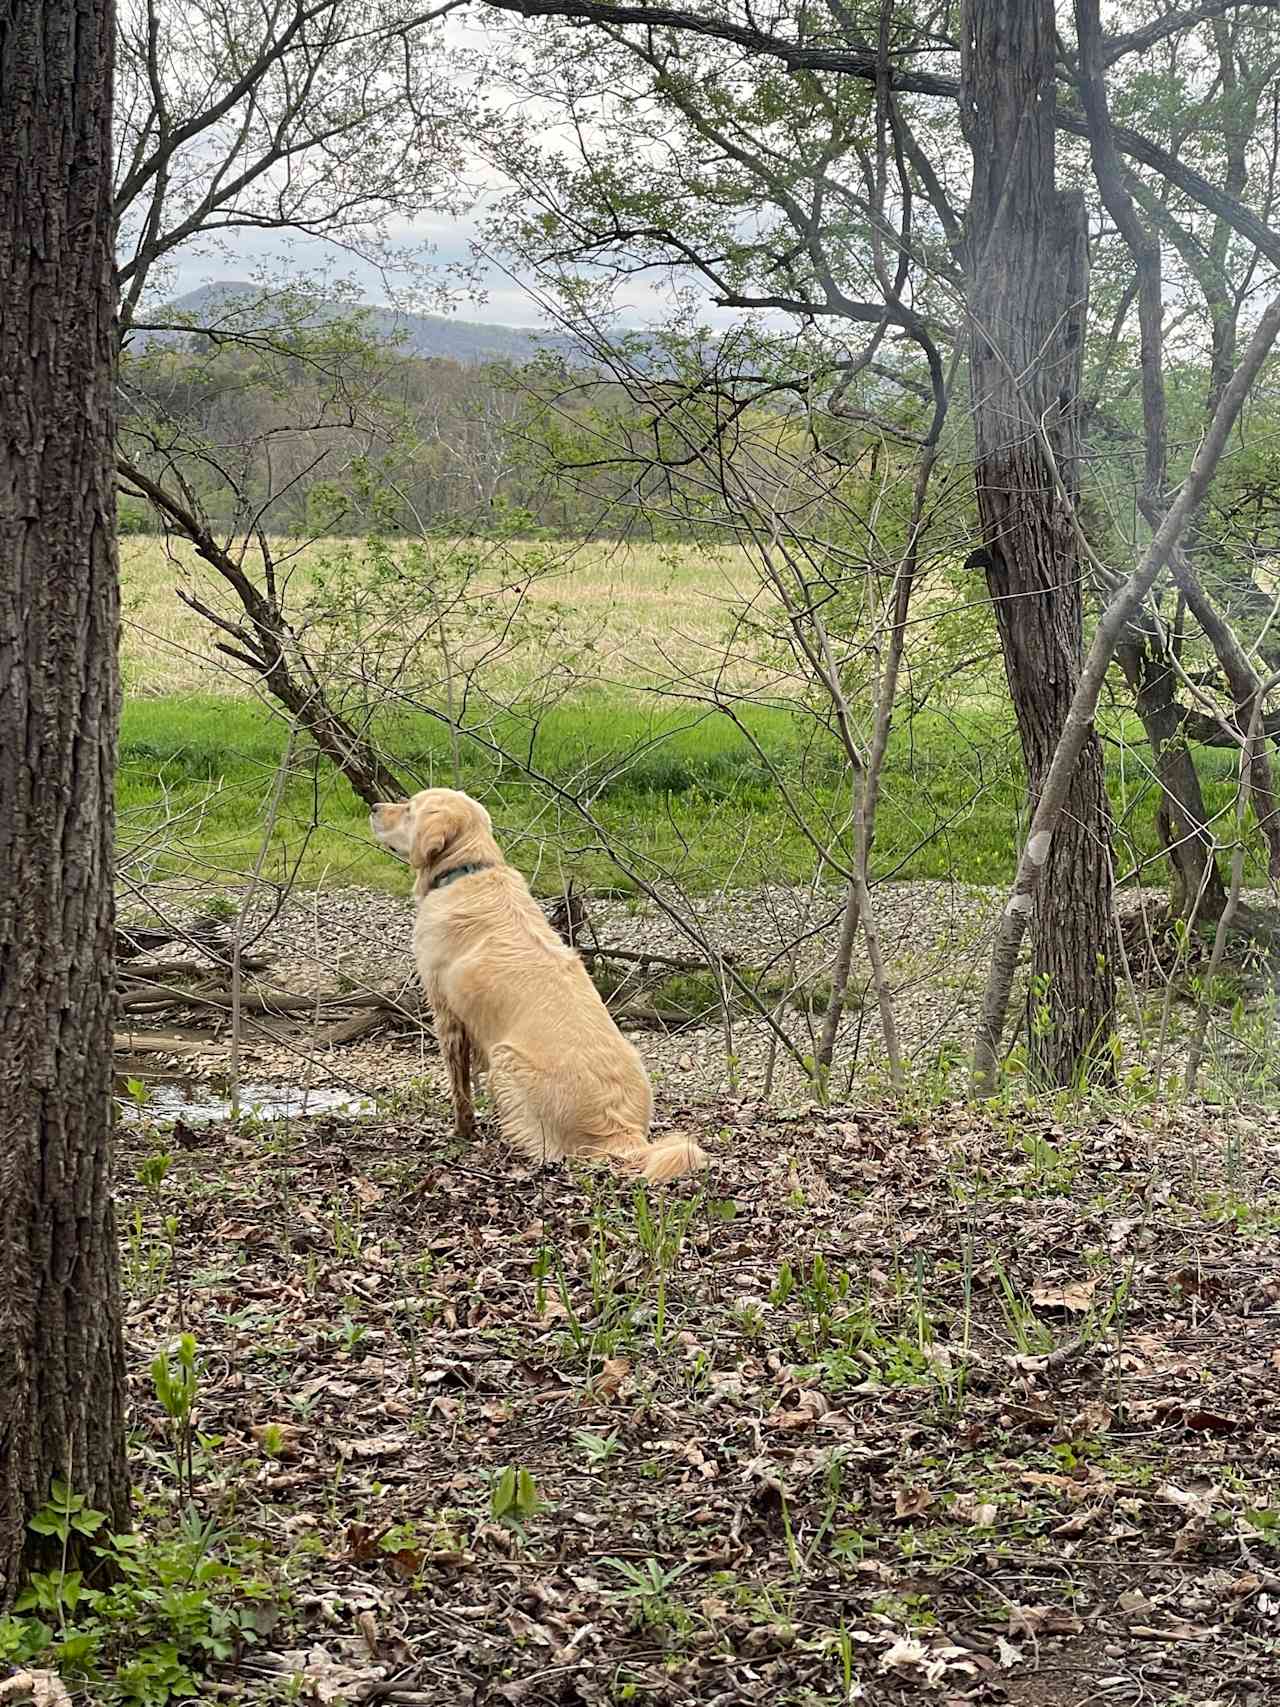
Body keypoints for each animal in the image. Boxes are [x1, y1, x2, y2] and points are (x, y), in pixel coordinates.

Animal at [370, 788, 713, 1181]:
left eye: (409, 809)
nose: (374, 807)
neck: (468, 870)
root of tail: (620, 1132)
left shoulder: (447, 1015)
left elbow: (461, 1091)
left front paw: (461, 1132)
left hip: (506, 1059)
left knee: (548, 1148)